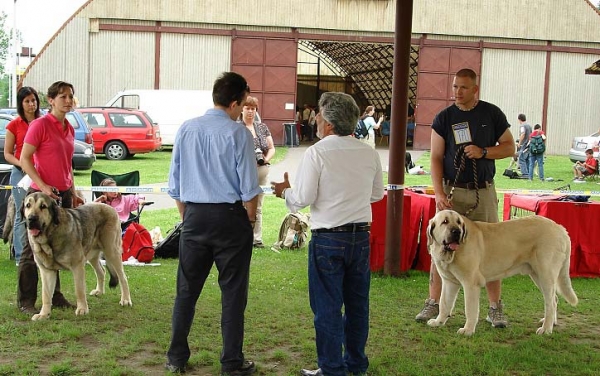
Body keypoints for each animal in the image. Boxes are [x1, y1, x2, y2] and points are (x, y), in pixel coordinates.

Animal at [426, 210, 576, 336]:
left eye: (458, 222)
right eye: (445, 222)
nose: (456, 231)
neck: (451, 254)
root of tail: (560, 228)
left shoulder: (471, 284)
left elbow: (470, 309)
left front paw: (468, 330)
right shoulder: (449, 282)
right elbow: (444, 303)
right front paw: (438, 322)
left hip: (545, 274)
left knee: (551, 302)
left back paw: (546, 329)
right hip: (537, 275)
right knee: (554, 299)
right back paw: (550, 323)